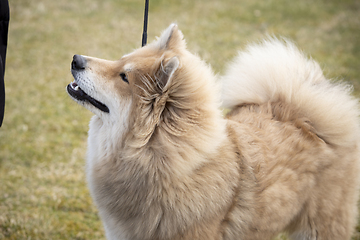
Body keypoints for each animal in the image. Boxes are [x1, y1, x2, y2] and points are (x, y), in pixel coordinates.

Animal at [67, 23, 360, 240]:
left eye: (124, 76)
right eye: (120, 61)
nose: (76, 59)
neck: (156, 158)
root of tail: (303, 114)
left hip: (321, 225)